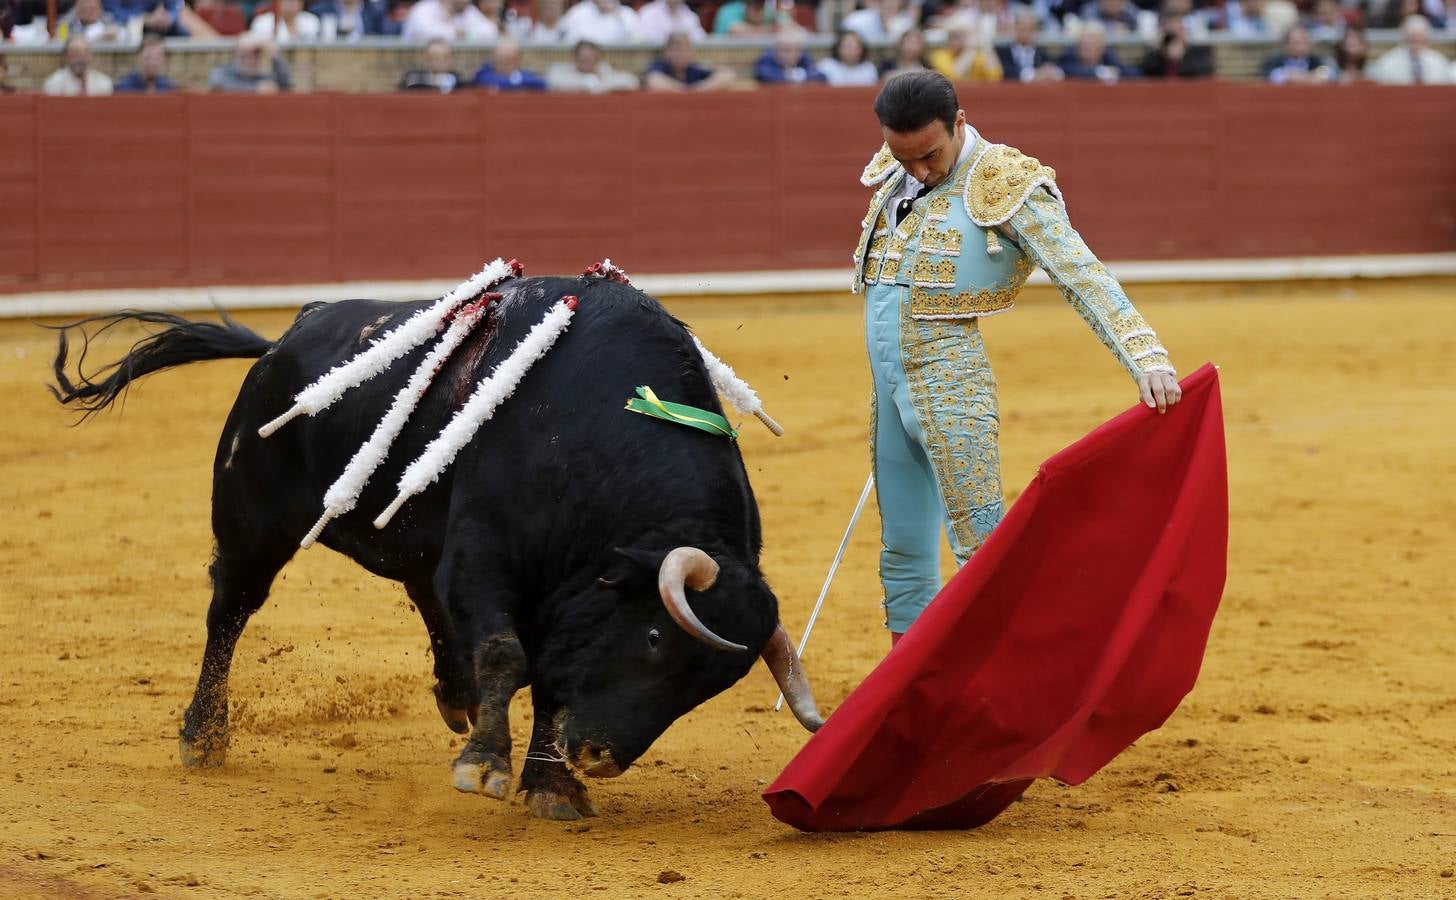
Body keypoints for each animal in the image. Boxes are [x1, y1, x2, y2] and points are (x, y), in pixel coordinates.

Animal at [51, 275, 827, 821]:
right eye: (658, 638)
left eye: (710, 687)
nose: (599, 756)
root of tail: (283, 340)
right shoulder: (487, 557)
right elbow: (508, 654)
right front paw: (484, 765)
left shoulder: (560, 593)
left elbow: (550, 677)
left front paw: (552, 786)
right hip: (253, 523)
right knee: (231, 610)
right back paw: (203, 737)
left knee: (422, 592)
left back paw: (457, 696)